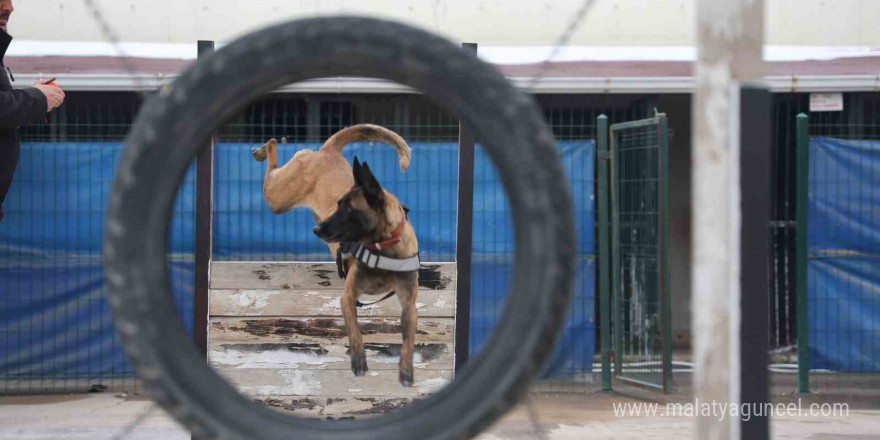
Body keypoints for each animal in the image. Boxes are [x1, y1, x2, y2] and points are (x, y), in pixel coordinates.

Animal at [253, 124, 422, 384]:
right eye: (339, 205)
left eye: (349, 209)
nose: (317, 230)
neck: (383, 248)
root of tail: (328, 151)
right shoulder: (349, 296)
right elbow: (355, 330)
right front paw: (358, 360)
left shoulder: (408, 304)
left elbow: (408, 338)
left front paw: (406, 369)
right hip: (278, 198)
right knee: (272, 154)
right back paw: (263, 149)